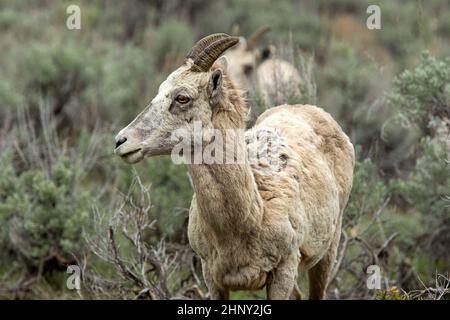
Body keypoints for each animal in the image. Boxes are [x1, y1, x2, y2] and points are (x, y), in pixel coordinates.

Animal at [116, 33, 356, 298]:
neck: (250, 217)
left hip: (327, 252)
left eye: (182, 98)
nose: (121, 141)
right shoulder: (212, 277)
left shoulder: (283, 271)